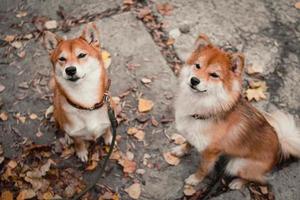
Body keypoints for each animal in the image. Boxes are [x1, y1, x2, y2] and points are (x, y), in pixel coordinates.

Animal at [44, 22, 114, 162]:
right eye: (62, 59)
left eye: (81, 55)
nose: (70, 70)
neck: (87, 104)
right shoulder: (76, 134)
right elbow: (79, 142)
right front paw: (81, 152)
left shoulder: (109, 120)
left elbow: (107, 129)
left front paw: (108, 138)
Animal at [173, 35, 300, 190]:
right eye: (197, 66)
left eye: (214, 75)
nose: (194, 80)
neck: (203, 105)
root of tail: (279, 148)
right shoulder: (192, 134)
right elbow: (188, 143)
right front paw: (180, 150)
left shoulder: (210, 153)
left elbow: (203, 169)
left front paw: (195, 180)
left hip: (237, 164)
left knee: (260, 180)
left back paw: (238, 183)